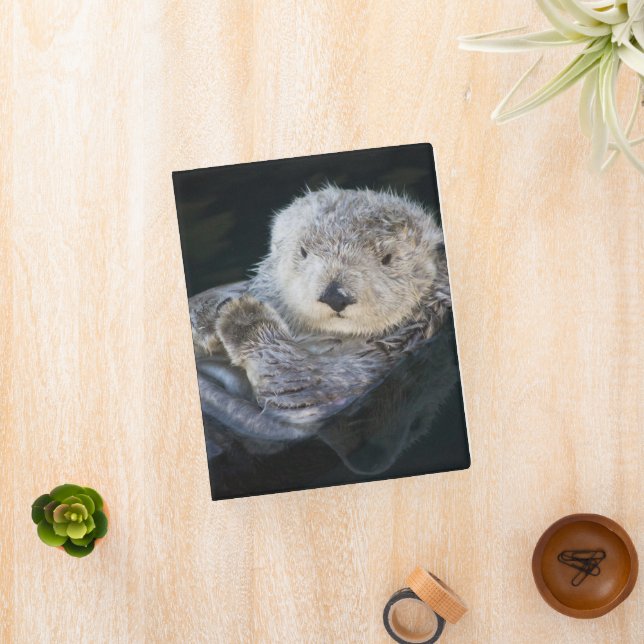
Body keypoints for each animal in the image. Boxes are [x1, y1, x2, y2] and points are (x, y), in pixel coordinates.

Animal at [189, 186, 451, 426]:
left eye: (387, 258)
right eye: (303, 251)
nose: (335, 295)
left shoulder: (360, 372)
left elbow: (298, 383)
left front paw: (244, 317)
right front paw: (209, 314)